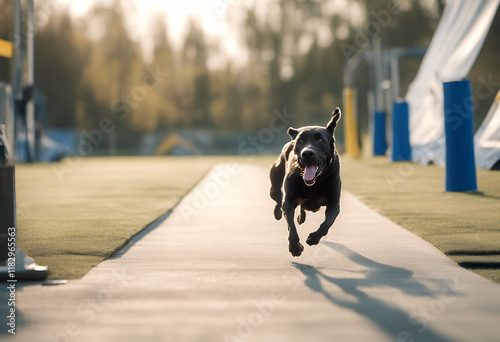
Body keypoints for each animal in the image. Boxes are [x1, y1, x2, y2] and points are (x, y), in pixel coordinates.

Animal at [270, 108, 344, 255]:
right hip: (275, 178)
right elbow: (291, 226)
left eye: (320, 139)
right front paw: (295, 247)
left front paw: (313, 238)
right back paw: (277, 213)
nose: (307, 153)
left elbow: (326, 224)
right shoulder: (289, 202)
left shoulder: (334, 203)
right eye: (300, 141)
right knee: (277, 198)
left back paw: (301, 217)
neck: (314, 183)